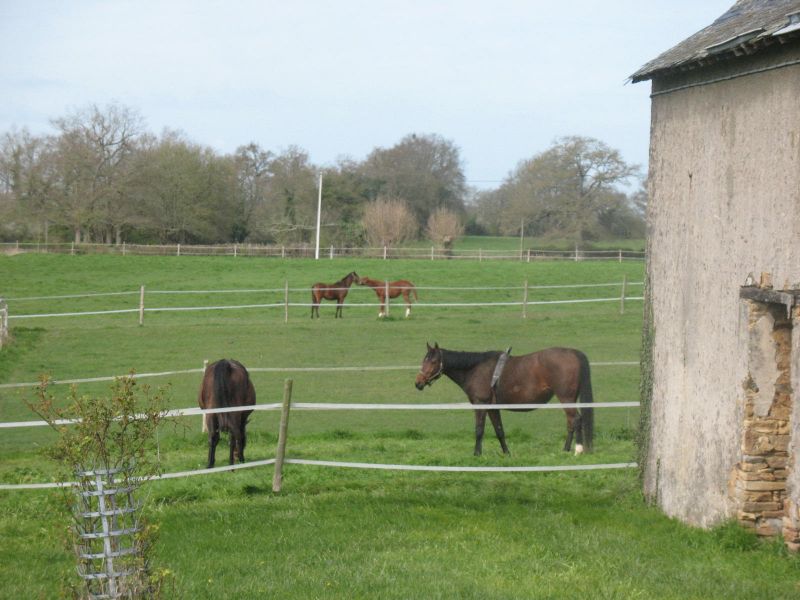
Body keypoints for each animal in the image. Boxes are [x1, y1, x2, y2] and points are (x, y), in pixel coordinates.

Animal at [414, 343, 594, 456]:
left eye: (434, 361)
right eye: (424, 360)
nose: (418, 382)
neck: (475, 369)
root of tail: (574, 353)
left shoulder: (480, 405)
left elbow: (479, 430)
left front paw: (477, 454)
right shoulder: (493, 408)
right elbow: (499, 430)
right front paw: (506, 453)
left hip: (566, 398)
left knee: (576, 420)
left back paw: (577, 450)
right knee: (571, 422)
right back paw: (566, 449)